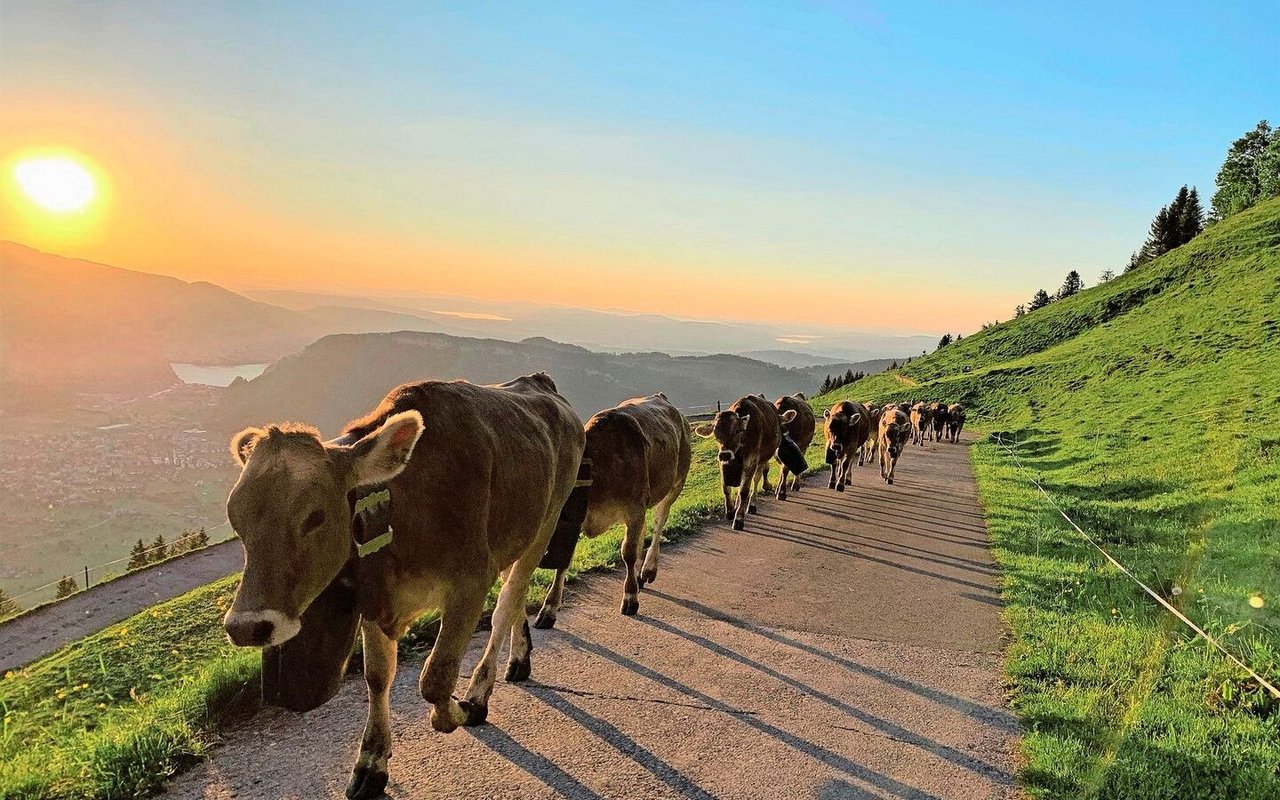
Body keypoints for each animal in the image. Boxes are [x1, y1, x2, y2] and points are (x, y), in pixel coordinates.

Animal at [222, 373, 583, 798]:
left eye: (315, 516)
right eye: (235, 519)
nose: (246, 627)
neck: (403, 507)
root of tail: (539, 383)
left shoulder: (472, 580)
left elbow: (435, 680)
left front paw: (461, 708)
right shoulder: (374, 597)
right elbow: (377, 677)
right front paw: (371, 763)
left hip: (546, 522)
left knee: (507, 605)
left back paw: (480, 690)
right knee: (518, 597)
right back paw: (520, 659)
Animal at [529, 394, 691, 629]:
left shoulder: (634, 508)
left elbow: (628, 552)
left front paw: (630, 598)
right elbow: (566, 559)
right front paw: (549, 608)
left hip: (675, 484)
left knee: (659, 522)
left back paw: (648, 569)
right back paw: (639, 577)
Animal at [696, 389, 793, 527]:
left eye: (737, 431)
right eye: (715, 433)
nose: (725, 454)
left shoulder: (751, 460)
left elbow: (744, 491)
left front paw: (739, 518)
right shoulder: (722, 463)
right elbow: (726, 488)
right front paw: (730, 511)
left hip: (762, 459)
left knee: (756, 479)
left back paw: (751, 505)